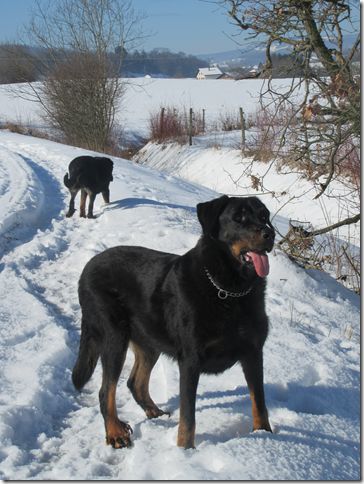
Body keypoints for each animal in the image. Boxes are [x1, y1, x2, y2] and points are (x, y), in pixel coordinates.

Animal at [72, 195, 274, 448]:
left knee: (135, 382)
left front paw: (264, 436)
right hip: (114, 336)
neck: (230, 290)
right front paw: (185, 450)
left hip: (149, 339)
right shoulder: (190, 359)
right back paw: (115, 432)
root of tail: (86, 268)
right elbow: (188, 415)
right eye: (239, 218)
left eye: (264, 216)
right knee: (106, 390)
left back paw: (154, 413)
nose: (269, 233)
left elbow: (260, 402)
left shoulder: (253, 352)